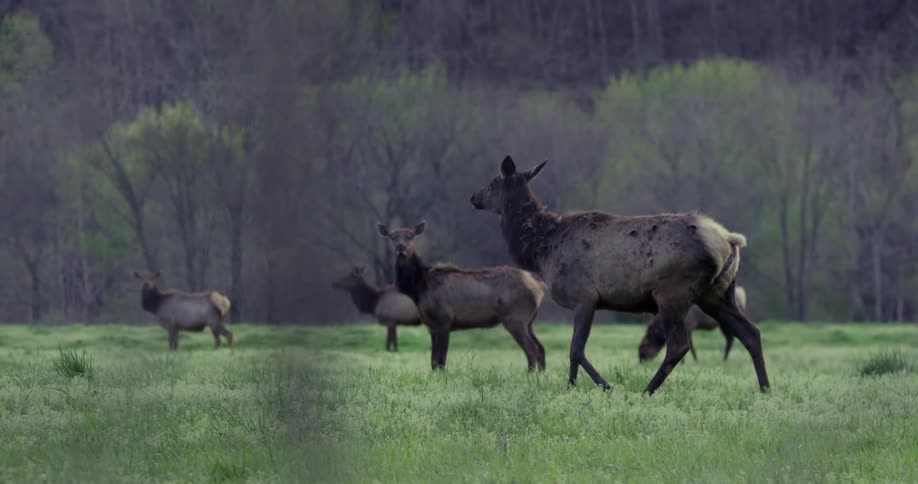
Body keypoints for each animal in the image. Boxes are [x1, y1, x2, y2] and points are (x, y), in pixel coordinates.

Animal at [378, 221, 546, 371]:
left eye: (410, 236)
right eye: (392, 236)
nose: (401, 248)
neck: (418, 289)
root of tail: (539, 286)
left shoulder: (444, 319)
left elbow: (441, 360)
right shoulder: (431, 325)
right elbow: (433, 361)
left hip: (515, 318)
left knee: (532, 349)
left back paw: (529, 375)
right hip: (529, 321)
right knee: (541, 348)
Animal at [470, 156, 769, 394]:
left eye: (493, 182)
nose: (473, 197)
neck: (541, 252)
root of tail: (730, 240)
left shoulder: (584, 296)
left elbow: (576, 349)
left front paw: (603, 385)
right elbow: (574, 351)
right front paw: (572, 386)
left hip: (673, 292)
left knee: (679, 345)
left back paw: (647, 390)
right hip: (717, 293)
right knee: (751, 333)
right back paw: (765, 389)